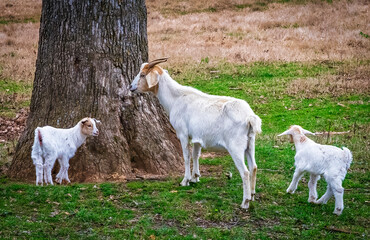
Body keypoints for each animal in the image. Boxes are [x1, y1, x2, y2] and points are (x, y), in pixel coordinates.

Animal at [129, 58, 260, 208]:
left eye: (143, 75)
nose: (130, 87)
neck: (176, 99)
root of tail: (249, 117)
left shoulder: (182, 133)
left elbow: (186, 156)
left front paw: (185, 180)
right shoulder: (197, 137)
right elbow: (195, 155)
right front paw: (195, 177)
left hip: (235, 146)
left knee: (245, 172)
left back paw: (245, 202)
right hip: (250, 142)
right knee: (254, 167)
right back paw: (253, 195)